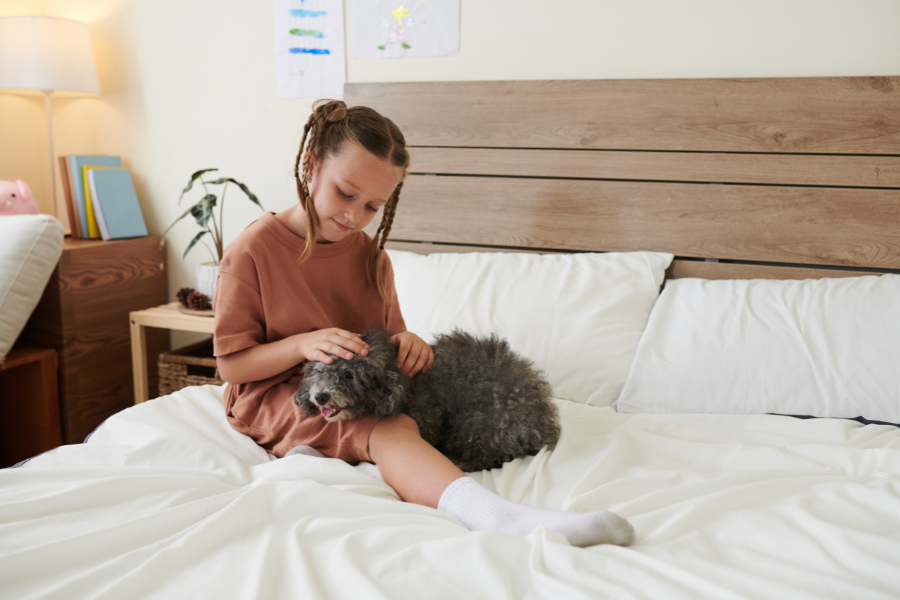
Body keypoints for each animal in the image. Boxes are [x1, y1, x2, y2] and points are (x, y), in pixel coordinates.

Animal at [298, 328, 560, 474]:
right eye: (320, 370)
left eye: (348, 375)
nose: (320, 396)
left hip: (479, 421)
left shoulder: (428, 419)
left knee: (484, 458)